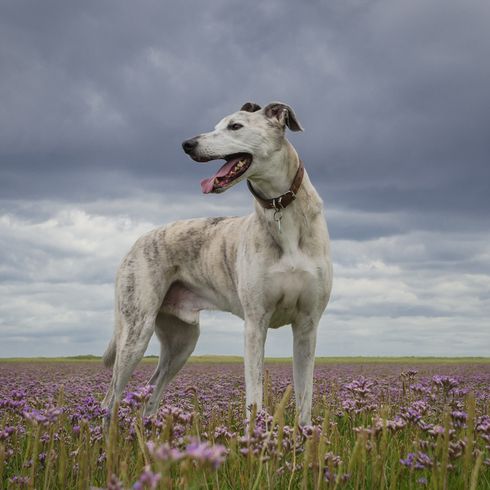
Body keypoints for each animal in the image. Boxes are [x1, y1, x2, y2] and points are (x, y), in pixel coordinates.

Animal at [103, 100, 334, 424]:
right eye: (216, 125)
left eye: (235, 126)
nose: (187, 144)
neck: (280, 209)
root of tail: (136, 243)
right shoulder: (255, 323)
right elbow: (254, 397)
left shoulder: (307, 326)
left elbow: (305, 401)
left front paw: (304, 435)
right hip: (135, 331)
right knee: (110, 398)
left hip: (181, 342)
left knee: (152, 391)